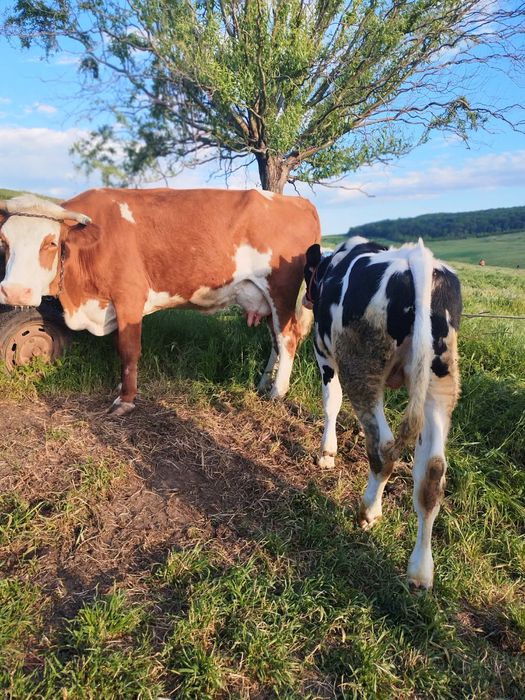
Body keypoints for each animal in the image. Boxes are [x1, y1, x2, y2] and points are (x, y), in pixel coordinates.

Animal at [0, 188, 320, 414]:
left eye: (51, 243)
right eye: (4, 241)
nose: (14, 291)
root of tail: (298, 202)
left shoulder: (129, 296)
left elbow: (128, 349)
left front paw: (125, 399)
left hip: (280, 291)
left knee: (288, 338)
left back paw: (278, 392)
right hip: (263, 298)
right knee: (276, 341)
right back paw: (264, 383)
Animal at [304, 236, 461, 590]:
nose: (307, 300)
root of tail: (418, 259)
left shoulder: (324, 354)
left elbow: (331, 401)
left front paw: (326, 453)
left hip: (361, 368)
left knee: (382, 446)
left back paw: (368, 511)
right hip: (439, 381)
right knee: (432, 471)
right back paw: (420, 571)